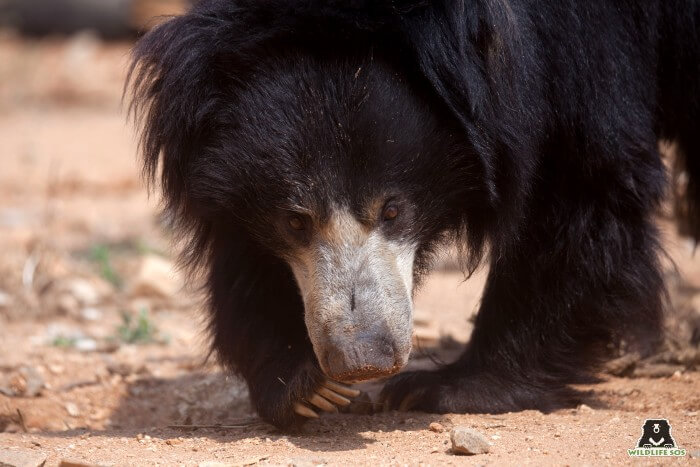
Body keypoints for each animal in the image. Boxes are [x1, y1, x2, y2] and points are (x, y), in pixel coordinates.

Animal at [129, 0, 700, 428]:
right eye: (295, 220)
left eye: (393, 209)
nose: (362, 360)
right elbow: (244, 248)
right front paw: (304, 385)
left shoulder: (582, 48)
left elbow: (577, 184)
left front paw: (446, 387)